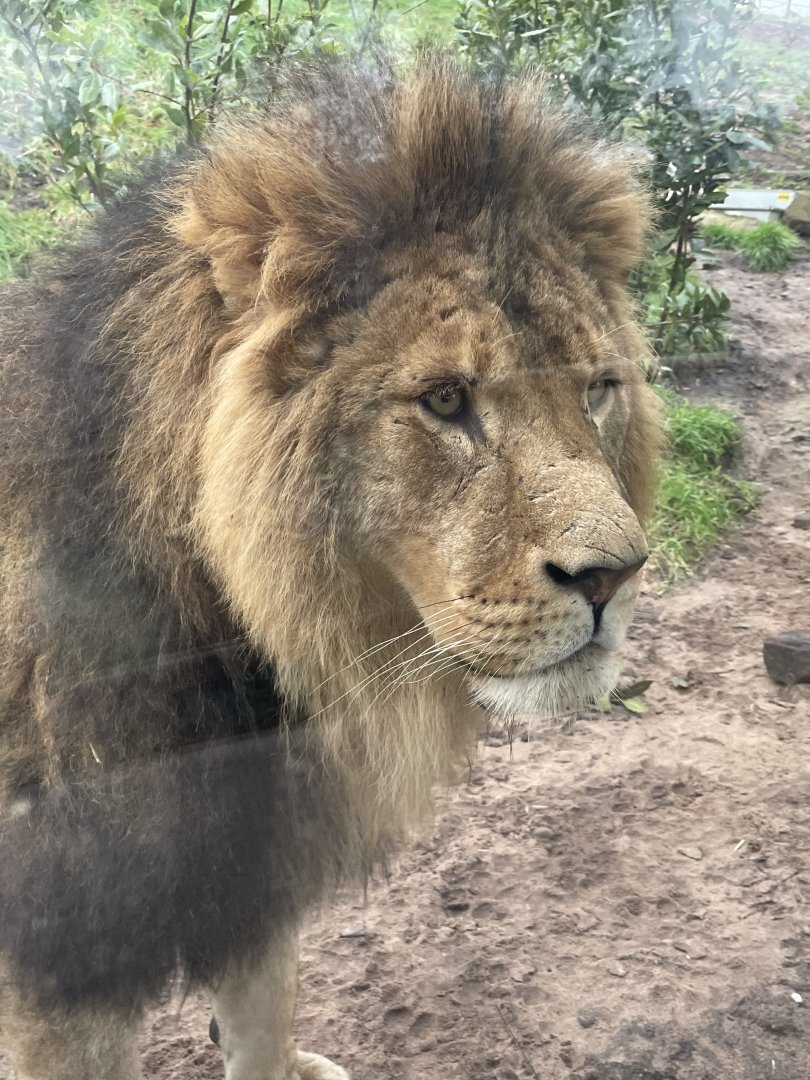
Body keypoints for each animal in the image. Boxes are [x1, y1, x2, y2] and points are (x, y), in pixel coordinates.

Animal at [0, 55, 660, 1080]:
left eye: (597, 389)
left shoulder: (262, 862)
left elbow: (265, 1015)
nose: (614, 577)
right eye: (445, 400)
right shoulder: (66, 947)